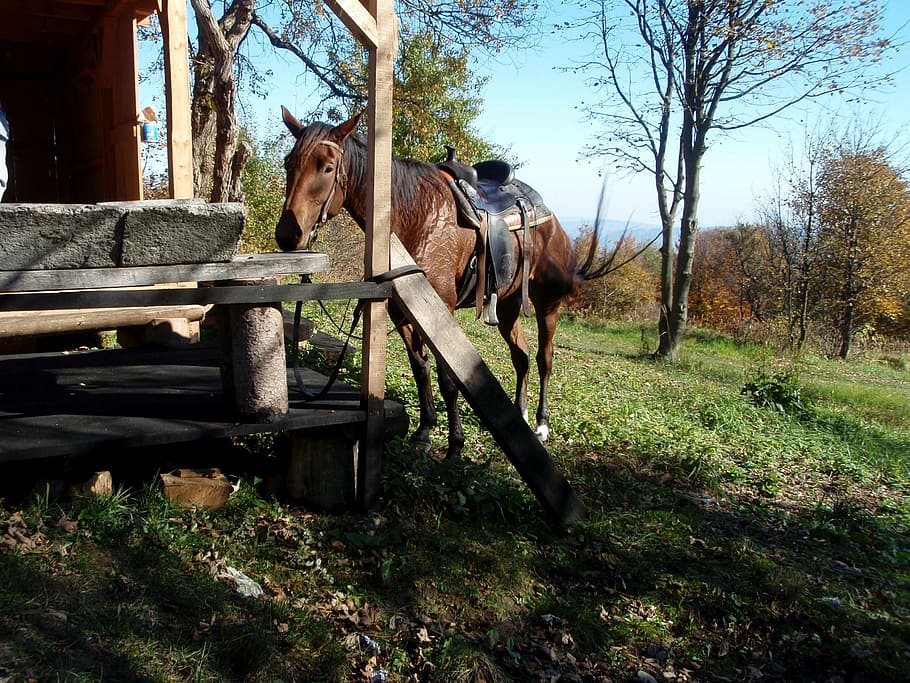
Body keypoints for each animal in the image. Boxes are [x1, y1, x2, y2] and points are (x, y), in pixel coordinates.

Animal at [276, 108, 613, 459]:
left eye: (327, 167)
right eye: (289, 163)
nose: (287, 235)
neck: (414, 216)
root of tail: (551, 218)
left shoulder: (441, 311)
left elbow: (447, 379)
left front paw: (455, 442)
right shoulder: (401, 311)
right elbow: (420, 368)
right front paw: (425, 431)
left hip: (548, 303)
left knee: (544, 359)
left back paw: (542, 424)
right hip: (508, 306)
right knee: (521, 355)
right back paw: (519, 414)